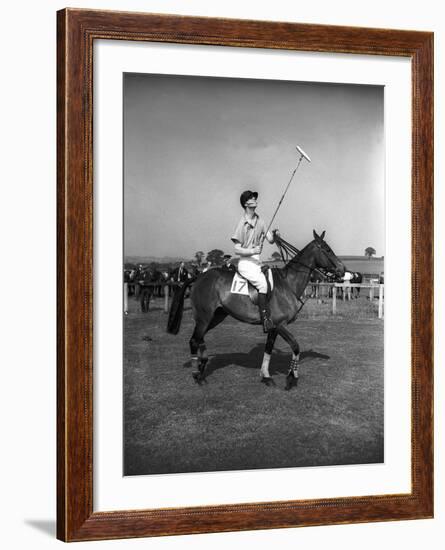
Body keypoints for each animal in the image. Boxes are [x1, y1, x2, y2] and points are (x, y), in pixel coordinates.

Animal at [166, 231, 344, 390]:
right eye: (327, 249)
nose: (342, 269)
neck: (288, 283)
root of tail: (199, 277)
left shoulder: (273, 328)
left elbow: (268, 350)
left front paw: (266, 377)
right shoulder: (279, 324)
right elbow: (295, 346)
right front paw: (291, 378)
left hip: (216, 316)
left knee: (199, 338)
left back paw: (202, 366)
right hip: (204, 317)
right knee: (194, 340)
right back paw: (197, 374)